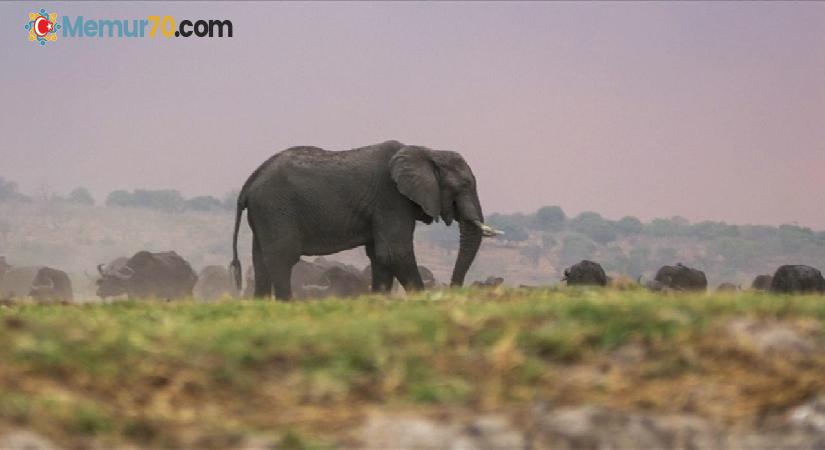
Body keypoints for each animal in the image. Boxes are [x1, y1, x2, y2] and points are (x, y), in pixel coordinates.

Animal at [232, 141, 502, 298]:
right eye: (464, 185)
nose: (455, 290)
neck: (426, 151)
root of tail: (249, 183)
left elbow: (380, 256)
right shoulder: (391, 199)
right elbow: (395, 253)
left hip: (265, 214)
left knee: (261, 263)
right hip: (276, 209)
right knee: (282, 260)